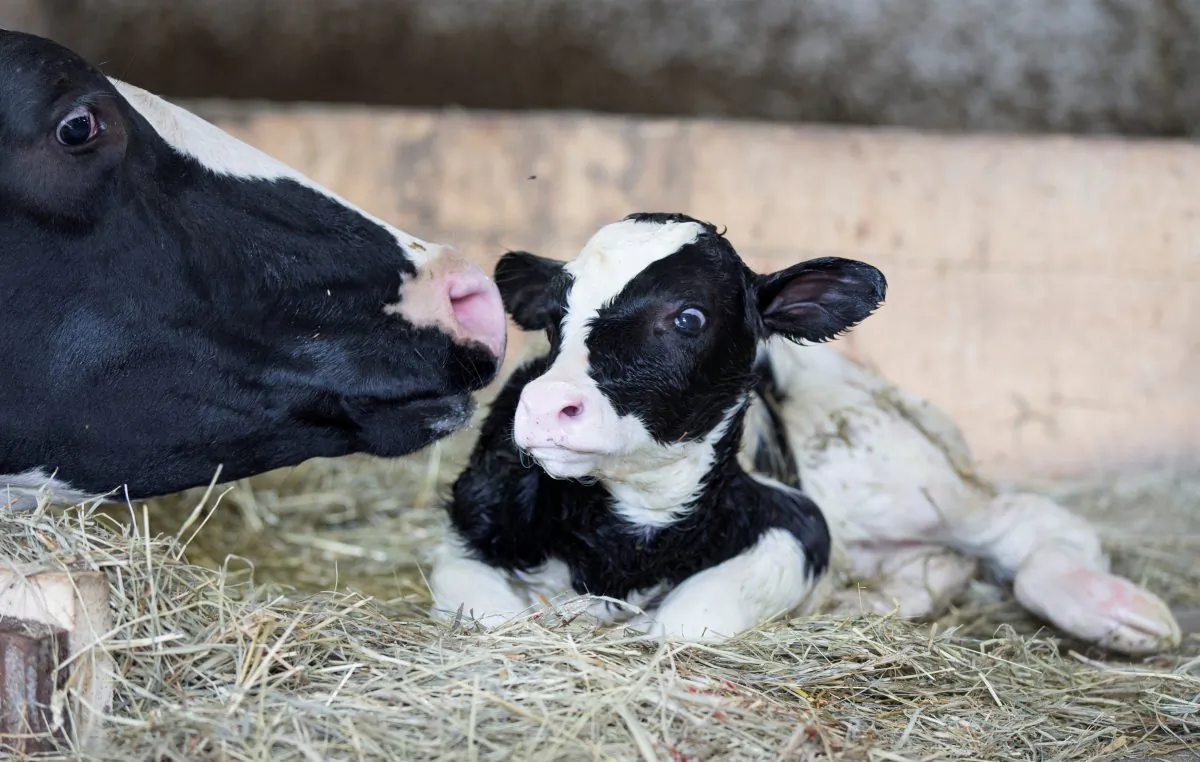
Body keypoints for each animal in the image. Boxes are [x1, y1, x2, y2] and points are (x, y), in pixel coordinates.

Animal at [429, 213, 1182, 655]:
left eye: (688, 318)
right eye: (555, 315)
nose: (544, 405)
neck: (630, 538)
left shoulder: (798, 524)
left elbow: (687, 620)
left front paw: (623, 622)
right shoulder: (470, 523)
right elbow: (489, 614)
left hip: (890, 471)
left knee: (1026, 526)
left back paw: (1115, 609)